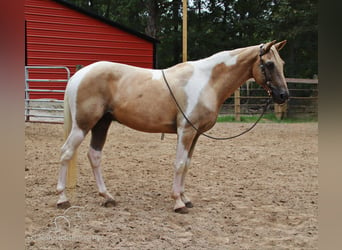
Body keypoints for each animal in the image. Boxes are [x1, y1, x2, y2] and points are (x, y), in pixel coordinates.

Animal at [56, 39, 288, 213]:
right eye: (269, 64)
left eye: (282, 63)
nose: (283, 95)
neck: (206, 81)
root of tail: (80, 75)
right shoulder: (185, 131)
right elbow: (179, 164)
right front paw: (177, 202)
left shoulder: (195, 134)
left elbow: (187, 164)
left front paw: (185, 198)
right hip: (83, 125)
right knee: (66, 153)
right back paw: (62, 199)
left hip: (101, 124)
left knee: (94, 156)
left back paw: (107, 197)